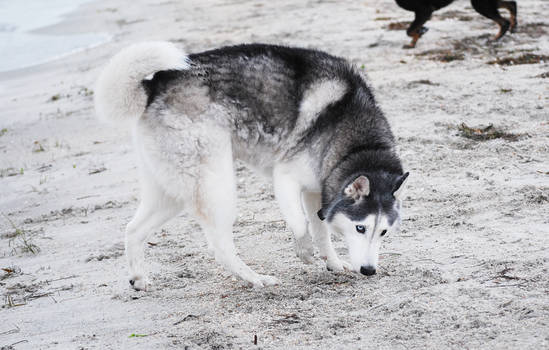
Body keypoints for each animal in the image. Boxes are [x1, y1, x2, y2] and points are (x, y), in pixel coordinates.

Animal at [95, 41, 406, 290]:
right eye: (360, 229)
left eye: (383, 232)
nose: (369, 271)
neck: (358, 146)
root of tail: (154, 85)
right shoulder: (286, 177)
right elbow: (301, 224)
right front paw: (304, 250)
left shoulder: (317, 191)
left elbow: (322, 231)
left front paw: (333, 262)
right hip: (217, 188)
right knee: (221, 247)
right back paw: (255, 278)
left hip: (169, 192)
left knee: (133, 229)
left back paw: (138, 278)